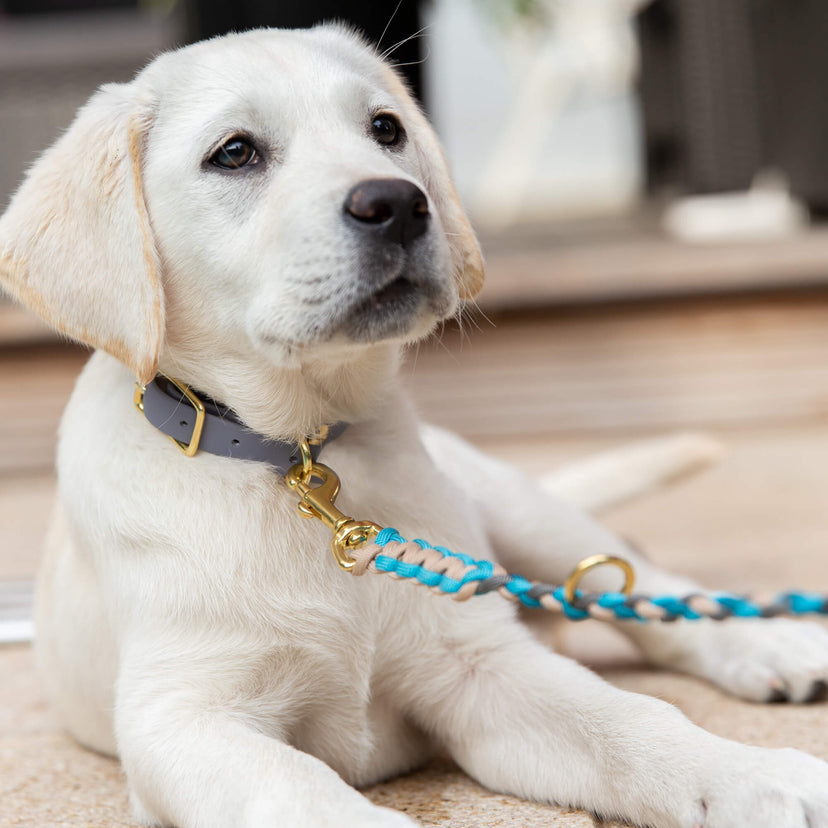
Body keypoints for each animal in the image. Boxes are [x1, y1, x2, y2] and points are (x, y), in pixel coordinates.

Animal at [1, 24, 828, 828]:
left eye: (386, 128)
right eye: (234, 152)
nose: (397, 203)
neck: (295, 459)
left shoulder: (477, 661)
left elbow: (632, 721)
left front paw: (757, 776)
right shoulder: (181, 718)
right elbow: (300, 793)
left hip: (511, 506)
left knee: (639, 585)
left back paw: (774, 643)